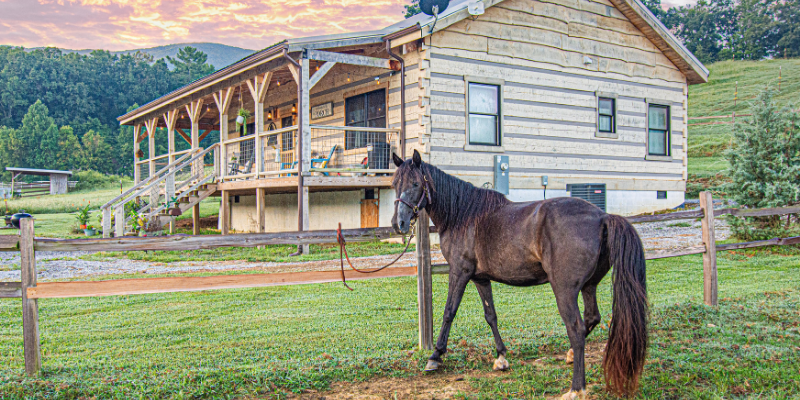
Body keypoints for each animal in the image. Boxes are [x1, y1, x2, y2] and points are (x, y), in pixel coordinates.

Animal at [394, 152, 648, 398]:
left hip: (564, 290)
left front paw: (435, 357)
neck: (464, 215)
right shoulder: (480, 278)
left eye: (416, 183)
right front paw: (501, 357)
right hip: (589, 285)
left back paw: (576, 388)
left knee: (575, 329)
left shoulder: (460, 272)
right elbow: (491, 315)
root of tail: (601, 217)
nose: (400, 223)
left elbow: (449, 312)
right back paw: (570, 356)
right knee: (592, 318)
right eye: (396, 183)